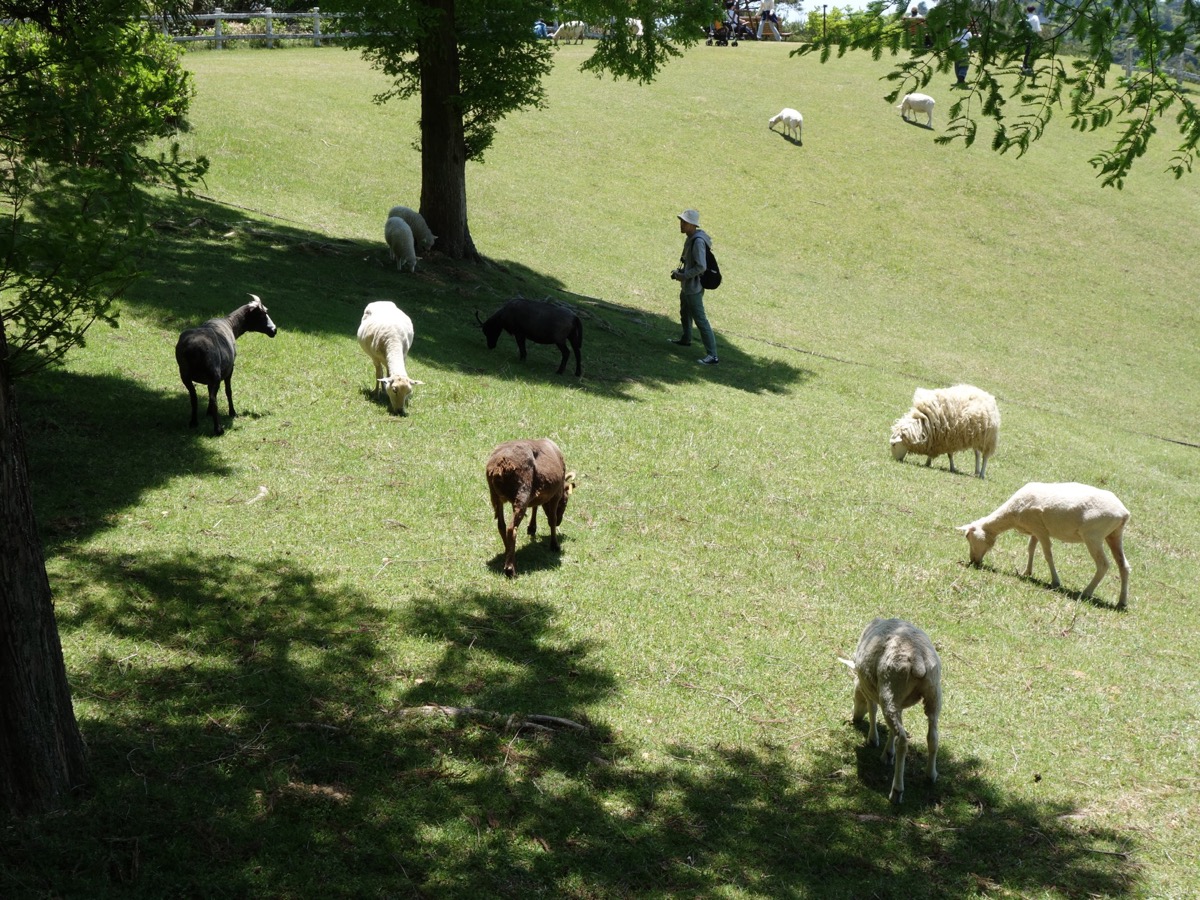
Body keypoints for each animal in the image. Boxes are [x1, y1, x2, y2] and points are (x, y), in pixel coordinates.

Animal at [175, 296, 277, 436]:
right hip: (214, 374)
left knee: (194, 397)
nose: (274, 330)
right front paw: (232, 412)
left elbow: (209, 392)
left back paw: (194, 422)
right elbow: (228, 391)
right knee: (214, 400)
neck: (231, 325)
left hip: (185, 374)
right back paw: (218, 429)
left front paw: (208, 413)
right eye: (262, 314)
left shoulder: (209, 380)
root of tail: (192, 348)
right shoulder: (230, 369)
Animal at [482, 441, 576, 580]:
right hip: (522, 492)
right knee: (511, 528)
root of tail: (500, 466)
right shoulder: (556, 494)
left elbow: (535, 507)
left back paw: (509, 552)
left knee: (501, 525)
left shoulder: (536, 493)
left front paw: (532, 527)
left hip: (496, 496)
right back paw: (510, 568)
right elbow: (551, 520)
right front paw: (554, 545)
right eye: (565, 502)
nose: (560, 522)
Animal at [840, 619, 940, 801]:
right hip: (932, 694)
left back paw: (896, 790)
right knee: (933, 736)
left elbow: (872, 709)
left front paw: (873, 739)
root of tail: (918, 661)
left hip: (890, 688)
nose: (854, 718)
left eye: (854, 694)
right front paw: (887, 753)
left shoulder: (870, 690)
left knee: (903, 741)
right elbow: (893, 728)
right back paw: (931, 775)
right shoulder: (898, 703)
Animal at [955, 482, 1132, 609]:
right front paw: (1027, 572)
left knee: (1103, 564)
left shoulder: (1040, 529)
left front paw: (1055, 582)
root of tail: (1124, 513)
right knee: (1124, 566)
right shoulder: (1034, 530)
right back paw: (1122, 602)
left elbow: (1047, 554)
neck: (1012, 514)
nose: (973, 561)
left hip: (1093, 535)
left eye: (968, 537)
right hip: (1114, 534)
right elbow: (1030, 548)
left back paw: (1086, 592)